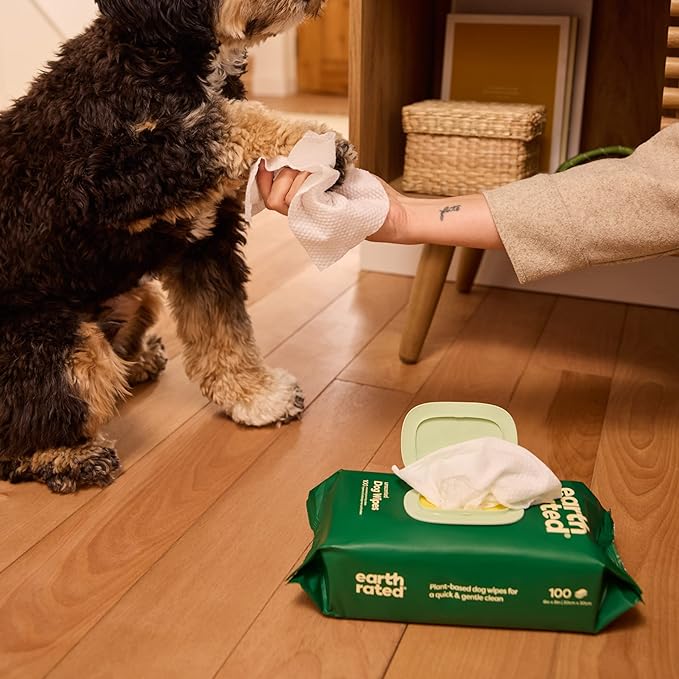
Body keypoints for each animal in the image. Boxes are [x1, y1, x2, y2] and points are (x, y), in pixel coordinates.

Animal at [0, 0, 354, 494]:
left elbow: (223, 328)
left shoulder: (205, 241)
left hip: (135, 297)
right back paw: (68, 456)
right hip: (57, 343)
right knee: (23, 430)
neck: (159, 56)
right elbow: (218, 124)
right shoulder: (107, 180)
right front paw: (311, 138)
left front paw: (256, 396)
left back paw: (138, 362)